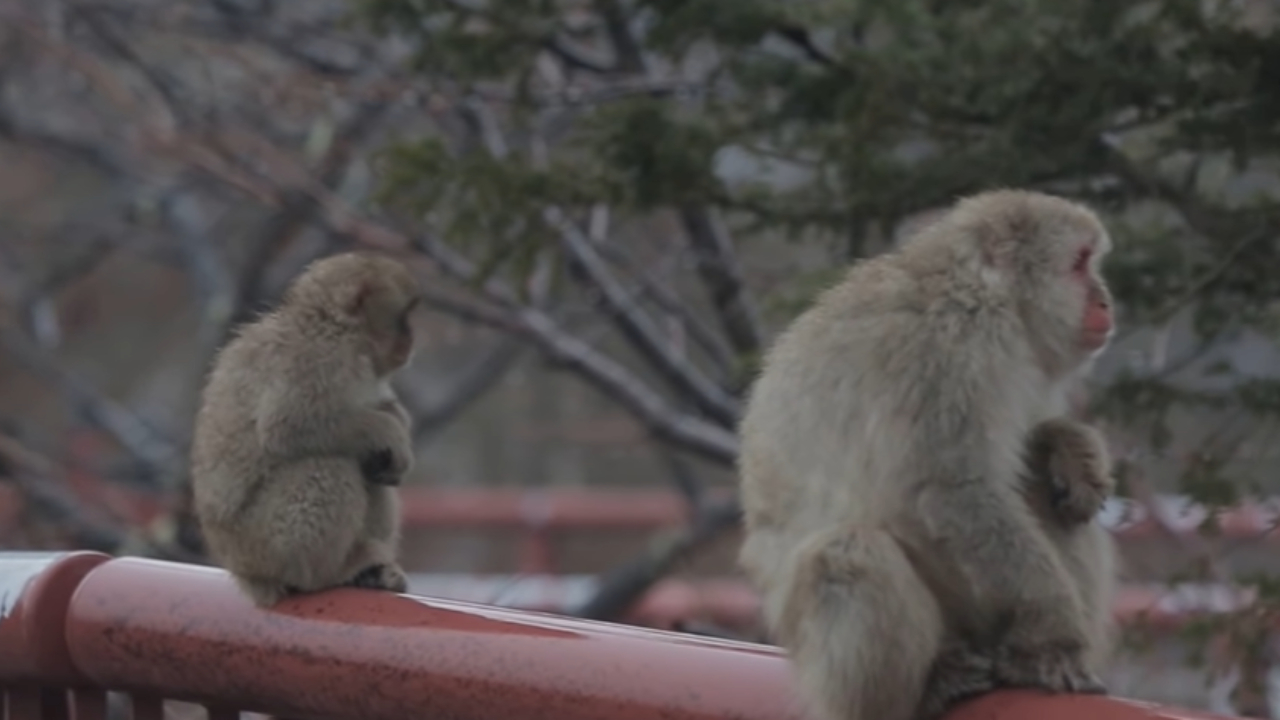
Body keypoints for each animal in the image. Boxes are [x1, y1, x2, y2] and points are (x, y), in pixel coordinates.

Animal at [192, 249, 419, 602]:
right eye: (403, 317)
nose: (411, 340)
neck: (333, 326)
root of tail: (244, 575)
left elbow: (380, 410)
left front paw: (397, 423)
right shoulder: (318, 357)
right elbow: (288, 428)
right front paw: (390, 431)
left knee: (367, 464)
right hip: (264, 544)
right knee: (328, 464)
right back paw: (328, 573)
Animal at [742, 189, 1121, 717]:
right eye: (1081, 262)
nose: (1104, 299)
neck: (985, 292)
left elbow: (1027, 444)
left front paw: (1071, 447)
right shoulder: (945, 347)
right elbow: (952, 490)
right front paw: (1055, 631)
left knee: (1050, 499)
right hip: (816, 647)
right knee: (848, 553)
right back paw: (936, 682)